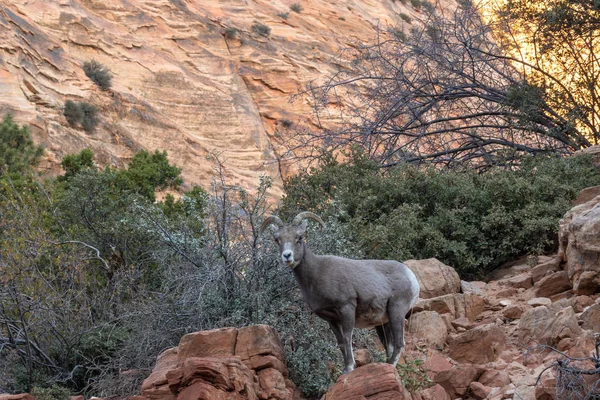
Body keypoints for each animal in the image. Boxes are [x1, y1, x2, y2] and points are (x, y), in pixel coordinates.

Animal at [260, 212, 420, 376]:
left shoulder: (346, 307)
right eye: (277, 239)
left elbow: (348, 338)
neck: (316, 274)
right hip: (383, 322)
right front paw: (345, 369)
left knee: (399, 343)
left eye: (299, 237)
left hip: (396, 311)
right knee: (390, 345)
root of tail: (411, 276)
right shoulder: (331, 319)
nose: (287, 256)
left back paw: (389, 365)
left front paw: (349, 367)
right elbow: (341, 343)